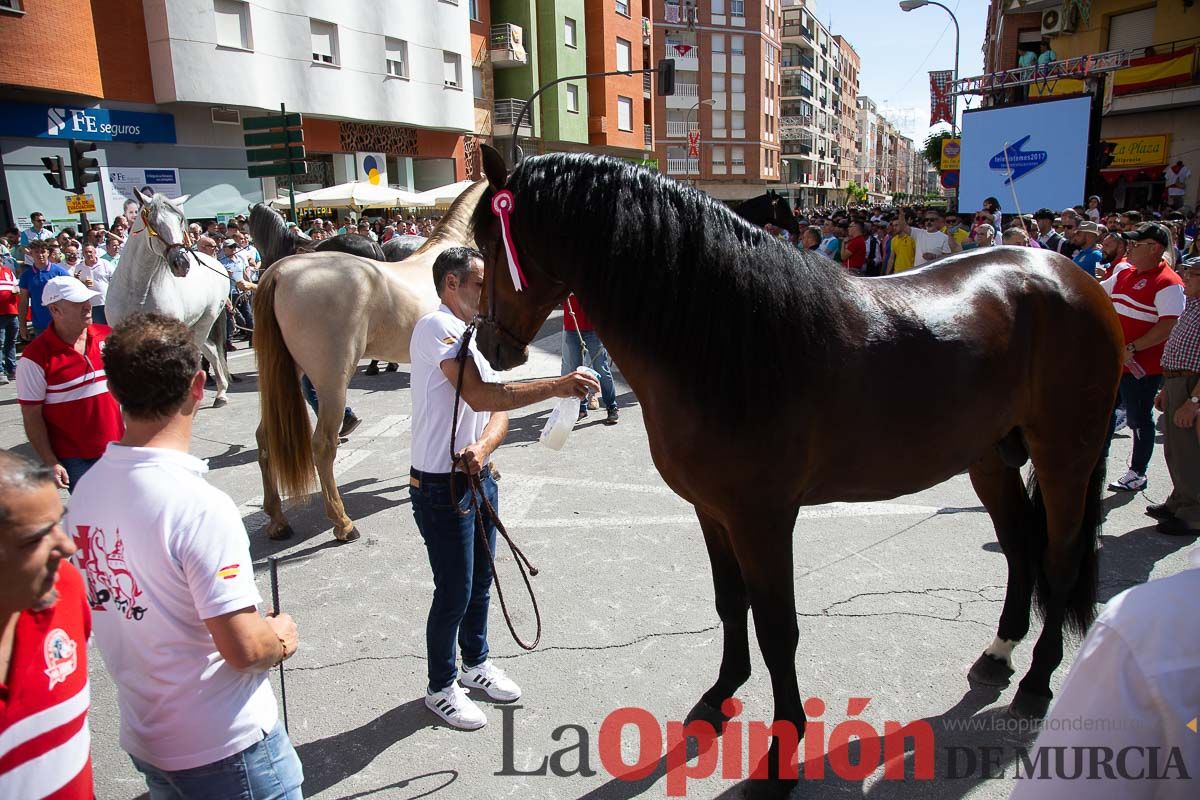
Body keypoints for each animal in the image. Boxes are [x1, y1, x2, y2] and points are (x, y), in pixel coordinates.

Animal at [105, 189, 234, 407]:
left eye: (180, 220)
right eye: (154, 222)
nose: (182, 263)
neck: (138, 289)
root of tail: (216, 263)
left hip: (205, 322)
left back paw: (218, 394)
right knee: (212, 352)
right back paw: (220, 393)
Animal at [248, 182, 492, 544]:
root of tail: (279, 272)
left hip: (285, 374)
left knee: (265, 438)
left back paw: (278, 520)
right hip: (333, 381)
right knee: (322, 445)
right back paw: (343, 523)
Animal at [465, 148, 1123, 796]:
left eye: (491, 244)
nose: (488, 350)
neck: (727, 340)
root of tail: (1070, 276)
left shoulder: (764, 519)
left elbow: (778, 628)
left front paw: (781, 758)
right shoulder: (712, 511)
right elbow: (730, 602)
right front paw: (721, 694)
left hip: (1065, 456)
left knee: (1059, 558)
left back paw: (1036, 682)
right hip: (989, 458)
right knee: (1018, 546)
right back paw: (999, 653)